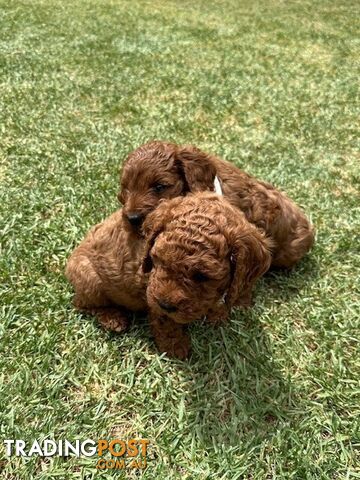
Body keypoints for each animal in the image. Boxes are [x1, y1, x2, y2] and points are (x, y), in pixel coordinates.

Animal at [66, 193, 272, 358]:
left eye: (202, 276)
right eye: (157, 260)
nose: (165, 304)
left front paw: (217, 313)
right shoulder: (150, 290)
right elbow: (165, 320)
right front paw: (175, 346)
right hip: (89, 279)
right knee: (82, 304)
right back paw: (112, 318)